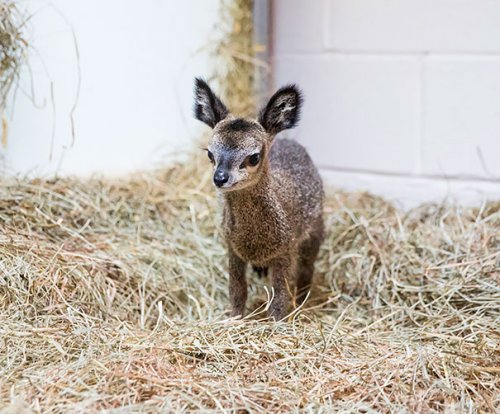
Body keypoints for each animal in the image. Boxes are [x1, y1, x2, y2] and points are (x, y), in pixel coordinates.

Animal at [191, 78, 324, 320]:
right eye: (210, 154)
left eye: (253, 157)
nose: (220, 178)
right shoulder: (232, 249)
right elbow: (237, 289)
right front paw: (234, 318)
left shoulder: (285, 251)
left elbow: (280, 296)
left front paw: (277, 322)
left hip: (316, 231)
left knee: (306, 271)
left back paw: (303, 301)